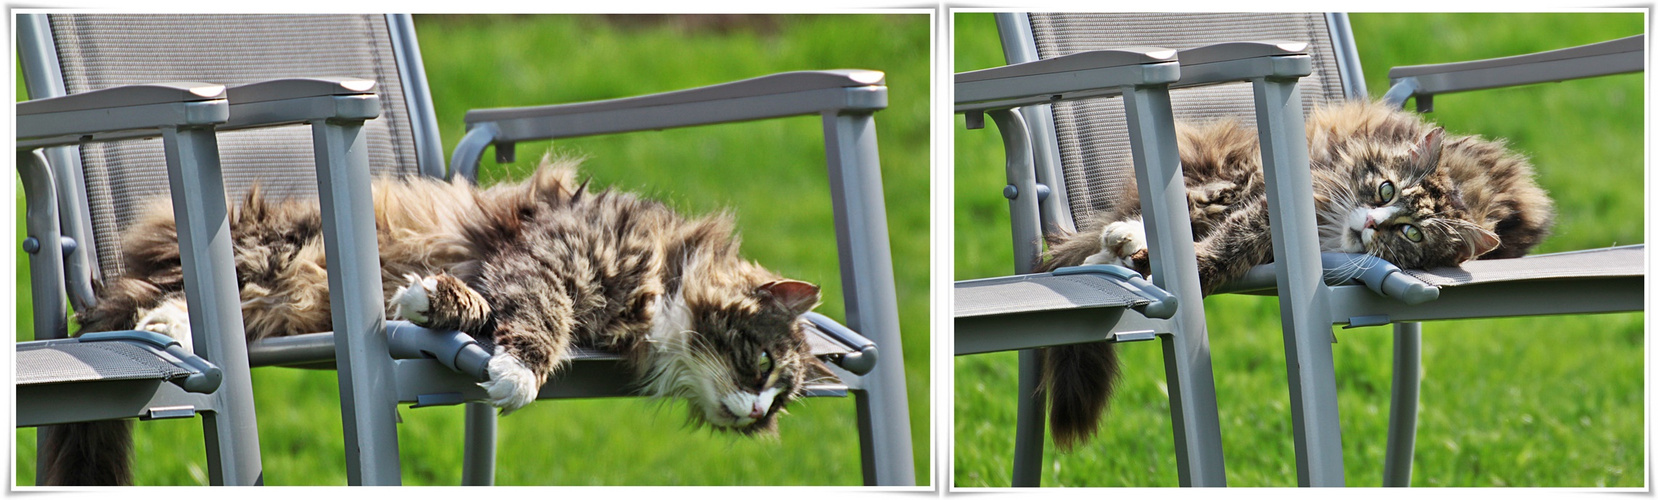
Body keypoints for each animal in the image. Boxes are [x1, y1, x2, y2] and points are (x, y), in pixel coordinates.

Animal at [45, 157, 835, 483]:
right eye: (762, 365)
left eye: (776, 407)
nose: (753, 412)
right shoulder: (557, 249)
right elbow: (539, 312)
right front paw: (516, 371)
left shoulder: (517, 264)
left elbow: (482, 304)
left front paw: (432, 303)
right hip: (270, 260)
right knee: (162, 303)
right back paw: (167, 328)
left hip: (286, 293)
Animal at [1034, 99, 1551, 450]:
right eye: (1385, 190)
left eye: (1412, 233)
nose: (1371, 223)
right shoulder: (1272, 198)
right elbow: (1226, 232)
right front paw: (1145, 254)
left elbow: (1225, 248)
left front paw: (1186, 266)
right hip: (1227, 171)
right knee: (1169, 211)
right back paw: (1120, 243)